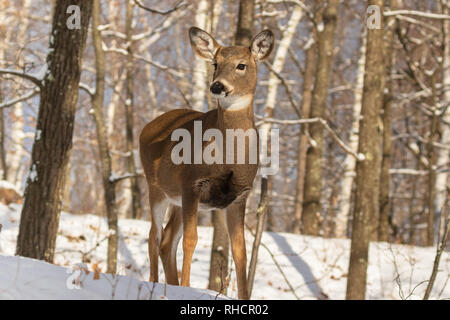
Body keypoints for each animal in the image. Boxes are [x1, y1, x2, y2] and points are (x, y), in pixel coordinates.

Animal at [139, 25, 274, 300]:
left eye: (242, 65)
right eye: (215, 63)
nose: (217, 86)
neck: (229, 158)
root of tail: (147, 127)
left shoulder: (240, 195)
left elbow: (240, 252)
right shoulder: (193, 181)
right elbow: (191, 239)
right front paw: (187, 287)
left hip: (176, 199)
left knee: (167, 240)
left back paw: (169, 285)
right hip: (156, 188)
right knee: (154, 236)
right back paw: (156, 285)